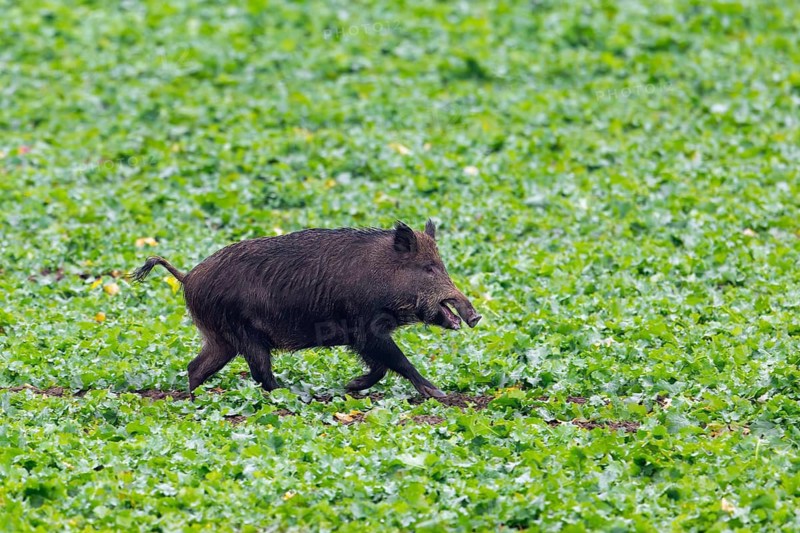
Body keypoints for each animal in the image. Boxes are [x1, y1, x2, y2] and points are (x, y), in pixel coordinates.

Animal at [131, 220, 481, 398]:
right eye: (429, 268)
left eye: (441, 265)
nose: (475, 316)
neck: (382, 274)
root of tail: (188, 277)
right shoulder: (366, 329)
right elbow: (397, 361)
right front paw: (438, 393)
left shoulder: (361, 337)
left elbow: (381, 366)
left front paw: (350, 386)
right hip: (243, 335)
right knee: (261, 374)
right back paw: (297, 396)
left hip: (222, 339)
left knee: (196, 367)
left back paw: (193, 398)